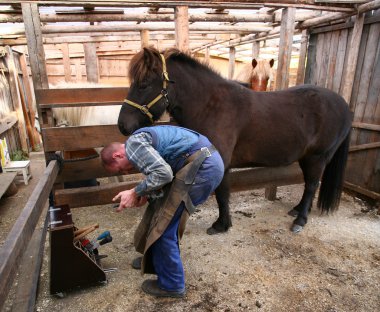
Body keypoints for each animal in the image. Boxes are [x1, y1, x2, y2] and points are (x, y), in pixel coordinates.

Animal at [117, 47, 352, 234]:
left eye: (144, 84)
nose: (122, 125)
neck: (211, 105)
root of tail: (344, 105)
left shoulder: (222, 159)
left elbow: (222, 193)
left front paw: (221, 224)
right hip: (307, 158)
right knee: (309, 186)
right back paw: (298, 210)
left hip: (317, 157)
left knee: (312, 185)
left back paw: (300, 220)